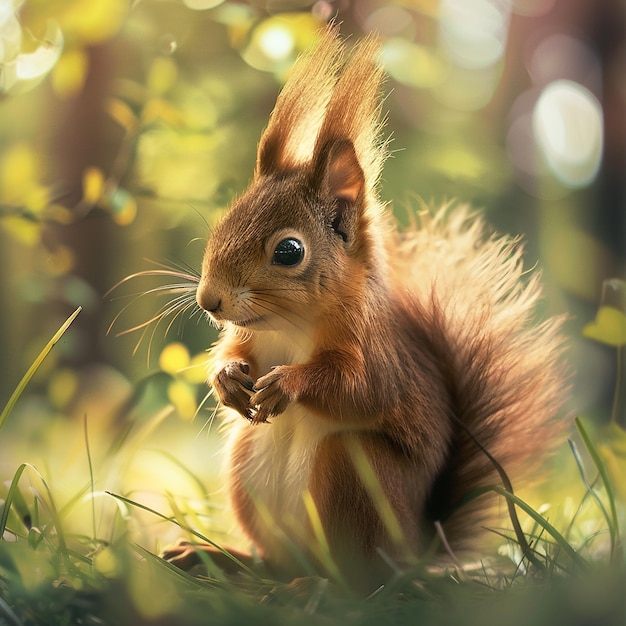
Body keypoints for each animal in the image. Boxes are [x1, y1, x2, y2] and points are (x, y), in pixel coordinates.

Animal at [161, 25, 564, 588]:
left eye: (289, 251)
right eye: (223, 221)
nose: (209, 299)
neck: (288, 327)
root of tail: (413, 552)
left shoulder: (375, 352)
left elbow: (357, 389)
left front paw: (288, 384)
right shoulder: (249, 335)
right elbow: (232, 353)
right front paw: (227, 379)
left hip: (354, 473)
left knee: (353, 583)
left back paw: (313, 585)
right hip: (246, 466)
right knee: (273, 561)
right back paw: (223, 560)